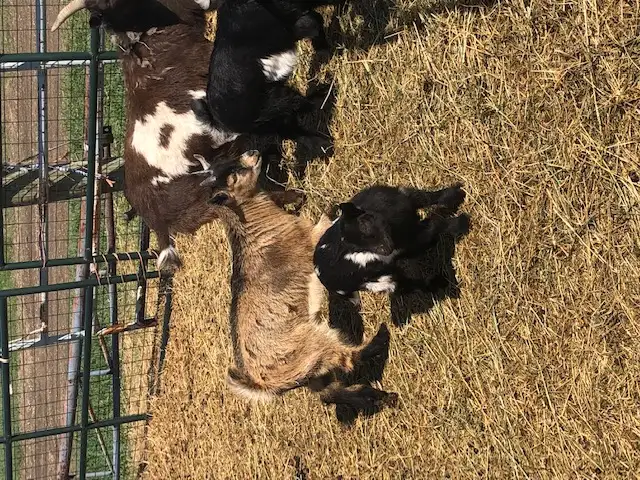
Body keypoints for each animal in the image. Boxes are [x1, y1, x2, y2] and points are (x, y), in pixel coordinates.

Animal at [201, 150, 398, 410]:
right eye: (235, 173)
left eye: (230, 162)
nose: (253, 152)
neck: (252, 222)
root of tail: (260, 384)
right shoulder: (309, 238)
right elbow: (323, 225)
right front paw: (333, 208)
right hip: (311, 344)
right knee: (347, 359)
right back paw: (377, 342)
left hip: (311, 369)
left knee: (332, 393)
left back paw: (384, 397)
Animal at [313, 184, 470, 305]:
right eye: (356, 248)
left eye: (364, 224)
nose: (387, 249)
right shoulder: (411, 241)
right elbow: (436, 224)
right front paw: (462, 222)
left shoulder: (403, 196)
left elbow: (427, 197)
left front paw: (456, 193)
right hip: (377, 282)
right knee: (408, 286)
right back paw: (439, 283)